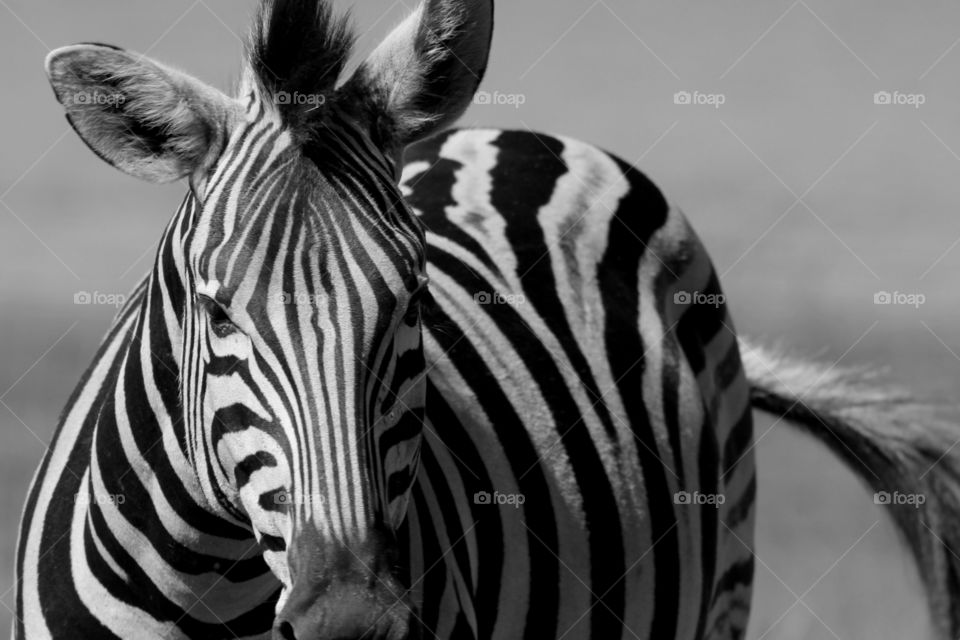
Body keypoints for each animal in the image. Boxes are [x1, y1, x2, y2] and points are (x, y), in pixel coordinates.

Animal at [15, 0, 960, 638]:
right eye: (216, 312)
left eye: (412, 301)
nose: (352, 624)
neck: (210, 590)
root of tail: (523, 139)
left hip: (723, 583)